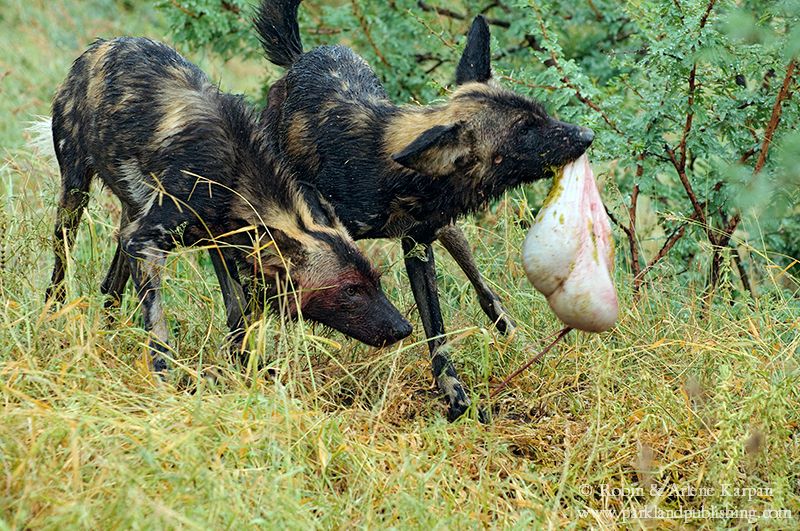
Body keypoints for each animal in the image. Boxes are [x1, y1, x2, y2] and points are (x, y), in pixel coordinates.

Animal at [44, 37, 410, 372]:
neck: (236, 177)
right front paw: (164, 374)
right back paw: (52, 317)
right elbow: (159, 327)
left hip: (132, 214)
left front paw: (246, 372)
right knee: (61, 262)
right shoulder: (145, 241)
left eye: (376, 281)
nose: (403, 329)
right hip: (75, 195)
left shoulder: (221, 245)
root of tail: (103, 44)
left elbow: (238, 315)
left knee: (111, 285)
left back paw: (109, 332)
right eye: (350, 290)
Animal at [250, 1, 592, 424]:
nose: (587, 135)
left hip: (449, 232)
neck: (395, 175)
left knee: (485, 291)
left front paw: (457, 399)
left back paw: (522, 345)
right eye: (525, 130)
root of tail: (300, 59)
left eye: (542, 114)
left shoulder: (418, 244)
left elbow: (437, 332)